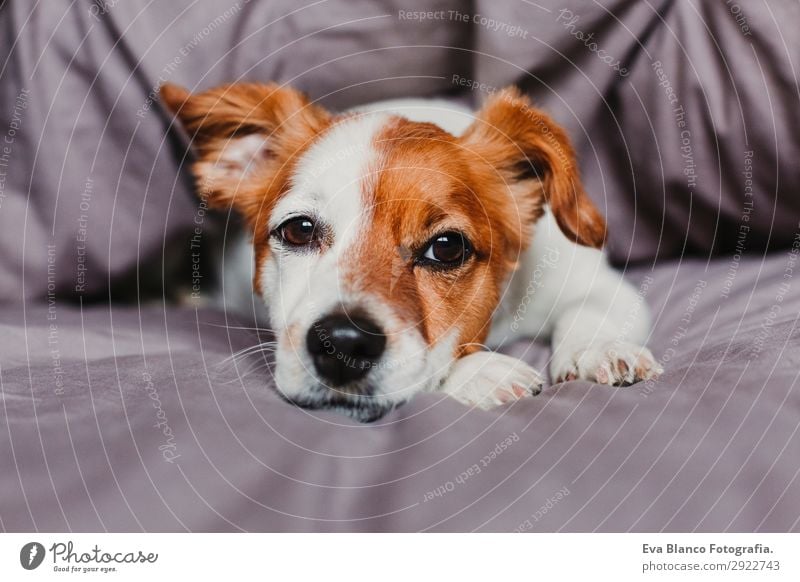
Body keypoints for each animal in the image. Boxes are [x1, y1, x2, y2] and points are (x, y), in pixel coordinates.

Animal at [159, 82, 660, 422]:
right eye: (299, 230)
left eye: (447, 248)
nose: (343, 344)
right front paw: (482, 373)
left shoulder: (596, 284)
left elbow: (590, 312)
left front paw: (598, 350)